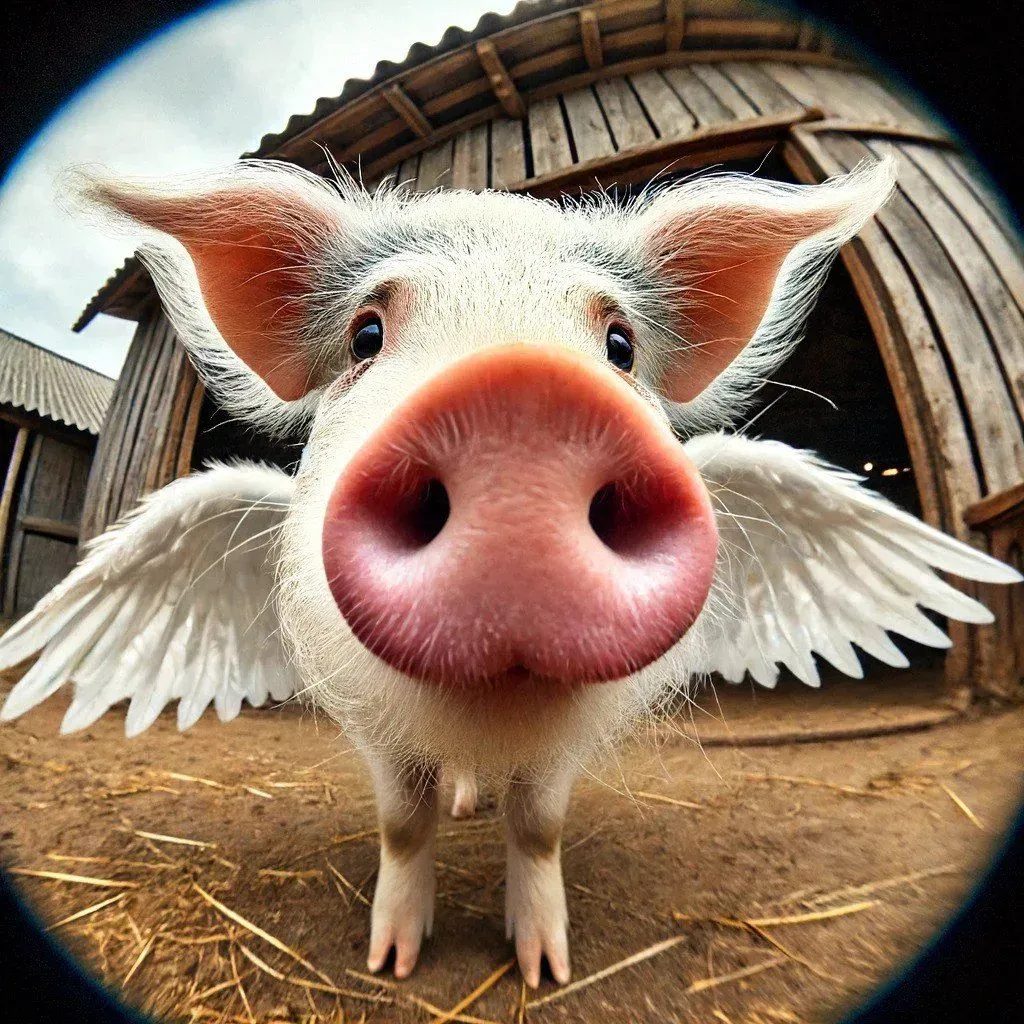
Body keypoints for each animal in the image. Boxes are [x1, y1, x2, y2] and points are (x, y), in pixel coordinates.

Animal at [1, 156, 1018, 987]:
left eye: (619, 344)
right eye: (366, 333)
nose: (521, 398)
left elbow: (538, 828)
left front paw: (546, 971)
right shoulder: (372, 721)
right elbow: (402, 825)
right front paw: (392, 962)